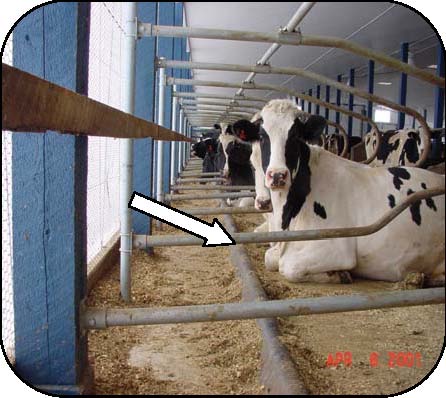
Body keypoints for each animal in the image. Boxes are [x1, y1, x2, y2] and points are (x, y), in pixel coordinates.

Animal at [239, 100, 444, 286]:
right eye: (261, 136)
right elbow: (270, 258)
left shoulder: (337, 247)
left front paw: (338, 274)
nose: (277, 175)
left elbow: (287, 266)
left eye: (295, 135)